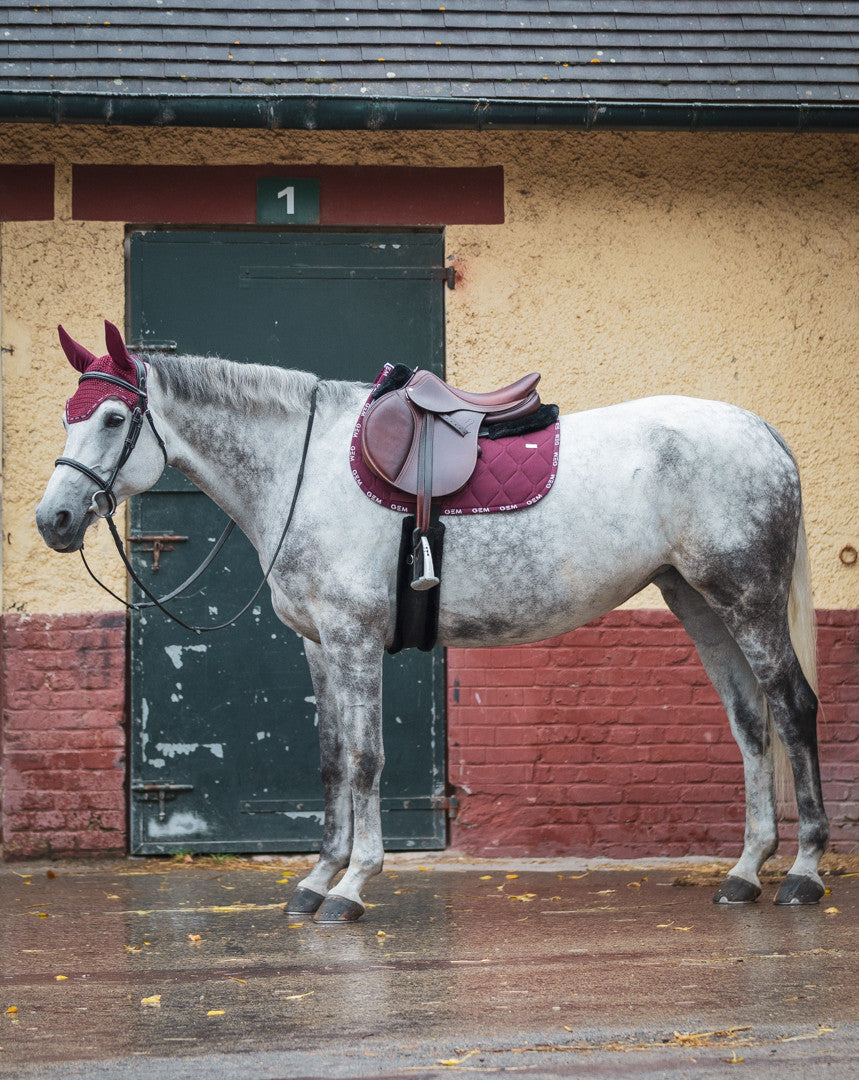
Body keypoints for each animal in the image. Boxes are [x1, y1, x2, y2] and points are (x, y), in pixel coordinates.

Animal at [37, 321, 829, 920]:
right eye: (67, 416)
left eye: (113, 418)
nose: (54, 520)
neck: (304, 468)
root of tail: (761, 431)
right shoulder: (318, 644)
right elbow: (331, 761)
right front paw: (316, 880)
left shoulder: (354, 639)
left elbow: (365, 759)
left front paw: (354, 886)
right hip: (697, 601)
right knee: (748, 721)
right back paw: (744, 872)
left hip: (747, 599)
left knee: (791, 707)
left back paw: (803, 871)